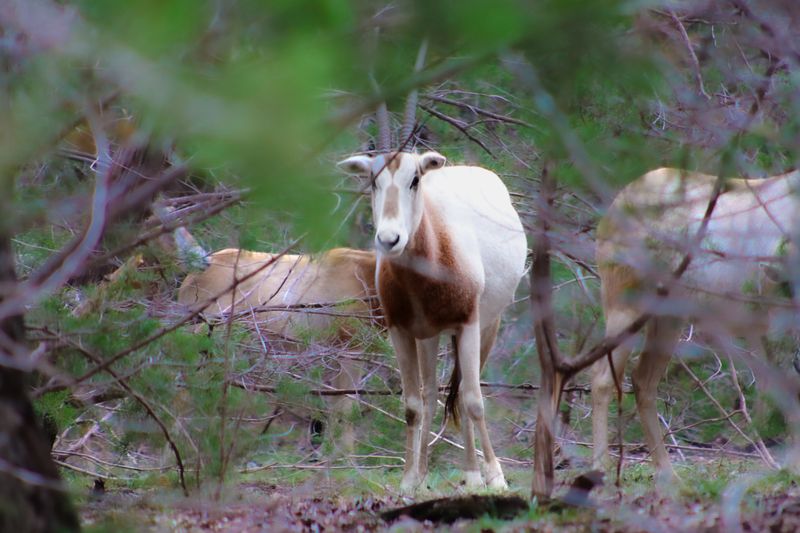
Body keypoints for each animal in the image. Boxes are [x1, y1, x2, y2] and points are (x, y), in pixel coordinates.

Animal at [338, 150, 527, 491]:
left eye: (415, 179)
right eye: (372, 180)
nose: (390, 239)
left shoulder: (468, 324)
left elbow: (473, 400)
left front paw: (491, 478)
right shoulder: (400, 330)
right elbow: (413, 405)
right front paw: (409, 481)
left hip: (487, 325)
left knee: (464, 392)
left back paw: (476, 474)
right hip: (429, 336)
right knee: (431, 396)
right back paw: (426, 473)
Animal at [594, 167, 800, 481]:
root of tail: (613, 208)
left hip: (668, 318)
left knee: (643, 381)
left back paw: (668, 473)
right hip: (624, 305)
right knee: (602, 377)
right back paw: (601, 467)